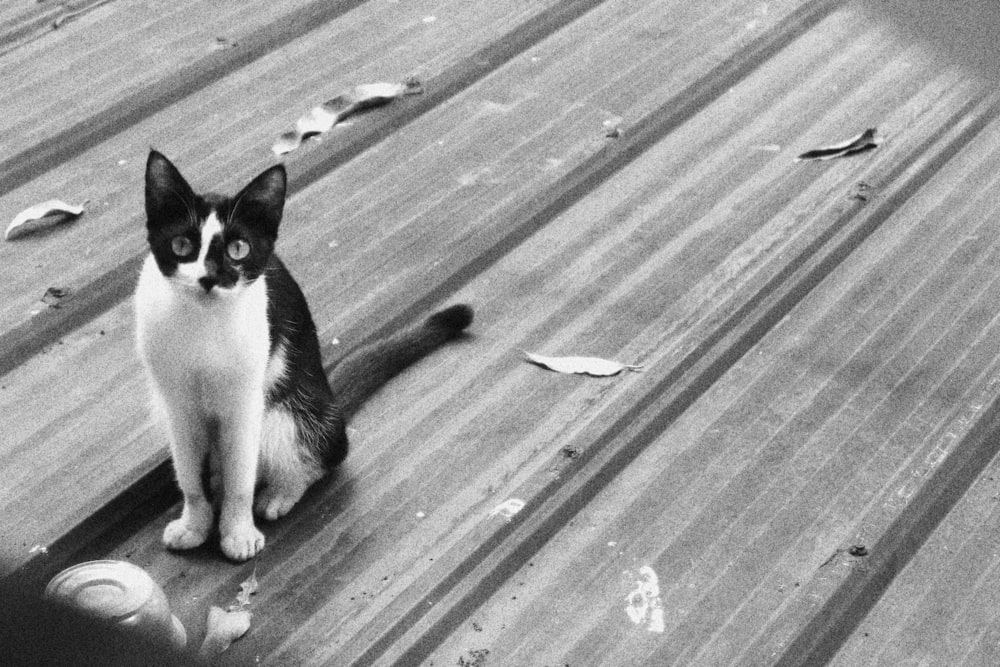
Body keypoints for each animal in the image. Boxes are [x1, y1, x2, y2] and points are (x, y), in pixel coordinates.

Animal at [134, 150, 472, 560]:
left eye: (238, 249)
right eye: (182, 245)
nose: (209, 277)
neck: (203, 324)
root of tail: (332, 400)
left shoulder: (245, 402)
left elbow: (240, 477)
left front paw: (237, 532)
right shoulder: (177, 404)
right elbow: (189, 473)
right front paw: (194, 523)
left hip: (290, 413)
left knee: (325, 451)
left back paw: (280, 492)